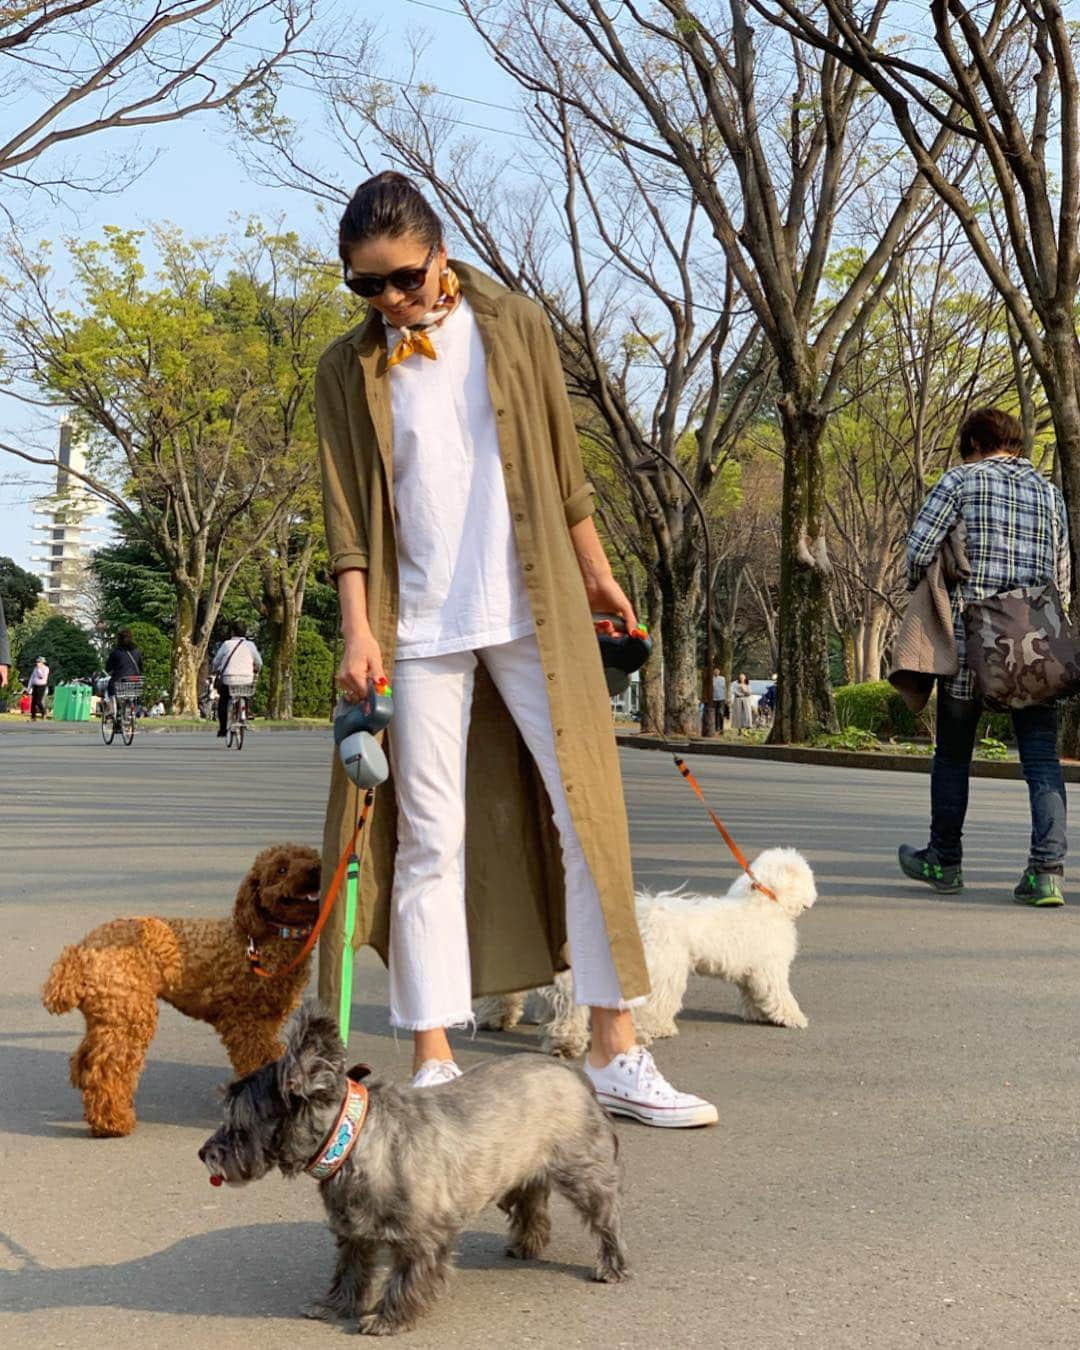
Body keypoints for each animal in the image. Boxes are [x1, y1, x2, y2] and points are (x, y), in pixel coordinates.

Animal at [477, 847, 815, 1058]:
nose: (811, 899)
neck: (766, 901)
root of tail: (649, 916)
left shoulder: (751, 971)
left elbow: (752, 994)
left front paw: (758, 1014)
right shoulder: (770, 968)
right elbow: (778, 994)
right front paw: (794, 1018)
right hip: (668, 969)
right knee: (656, 1002)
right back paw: (657, 1028)